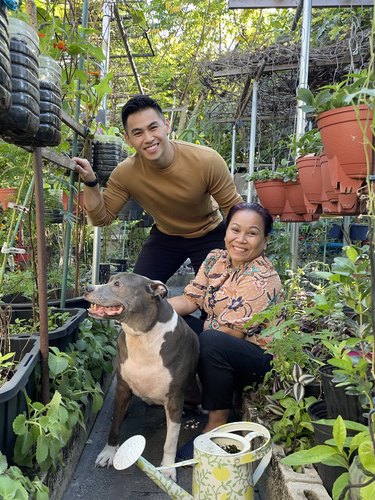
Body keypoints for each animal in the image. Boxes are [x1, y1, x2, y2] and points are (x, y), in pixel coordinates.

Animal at [83, 274, 198, 480]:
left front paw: (168, 469)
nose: (87, 287)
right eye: (110, 279)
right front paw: (109, 453)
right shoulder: (122, 388)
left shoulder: (174, 397)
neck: (142, 337)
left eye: (118, 284)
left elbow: (171, 440)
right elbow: (115, 425)